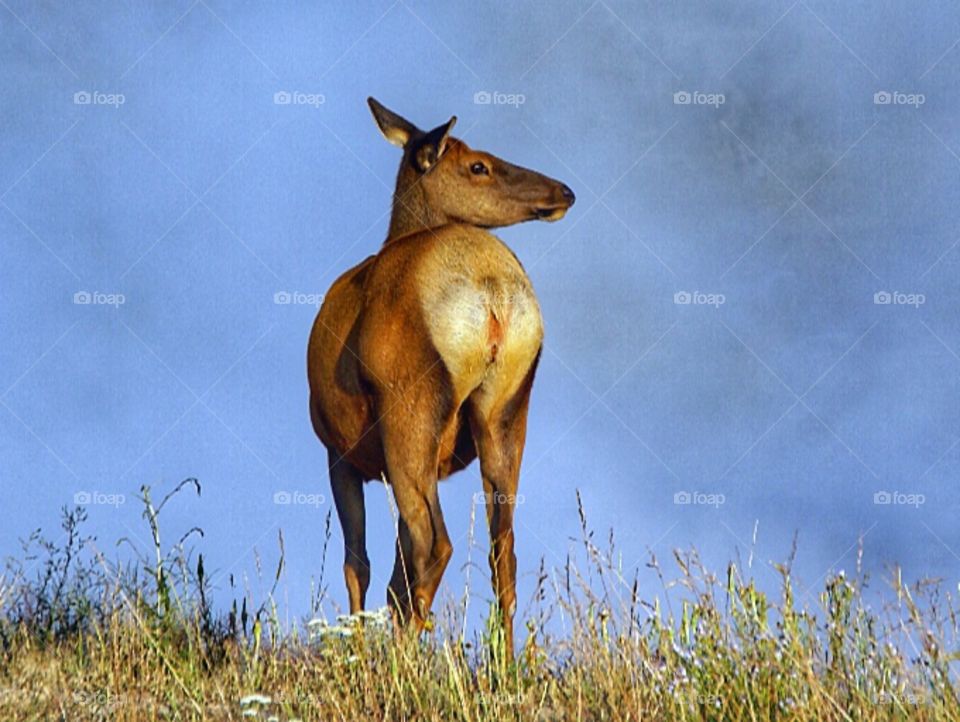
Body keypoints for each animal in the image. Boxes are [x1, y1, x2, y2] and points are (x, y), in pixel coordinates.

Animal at [307, 97, 575, 657]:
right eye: (479, 165)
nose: (563, 190)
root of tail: (493, 291)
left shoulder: (337, 450)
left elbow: (358, 562)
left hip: (409, 409)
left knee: (435, 544)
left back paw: (405, 654)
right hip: (507, 408)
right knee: (501, 550)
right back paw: (503, 661)